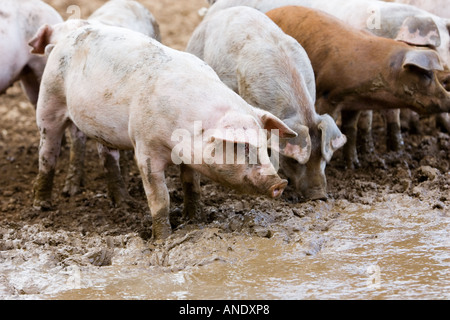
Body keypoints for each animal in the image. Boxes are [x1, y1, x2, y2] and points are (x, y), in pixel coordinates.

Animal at [29, 19, 298, 240]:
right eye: (241, 145)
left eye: (264, 146)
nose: (279, 183)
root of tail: (62, 39)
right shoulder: (145, 147)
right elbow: (160, 198)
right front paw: (162, 239)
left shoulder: (190, 157)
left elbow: (192, 185)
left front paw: (195, 220)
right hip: (49, 99)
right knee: (47, 153)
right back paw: (41, 205)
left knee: (108, 158)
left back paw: (124, 204)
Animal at [266, 6, 450, 169]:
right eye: (426, 75)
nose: (448, 97)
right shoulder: (328, 96)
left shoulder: (353, 105)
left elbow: (351, 131)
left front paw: (353, 166)